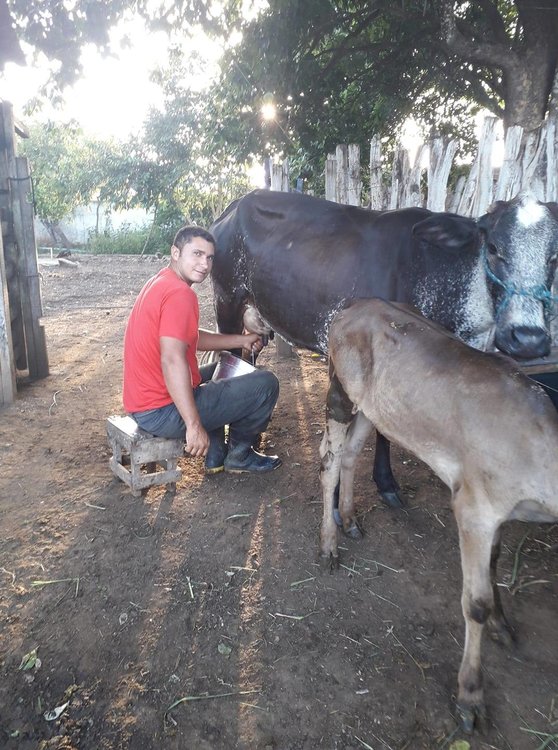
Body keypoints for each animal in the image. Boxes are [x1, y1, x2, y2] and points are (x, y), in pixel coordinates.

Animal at [210, 188, 558, 506]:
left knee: (246, 355)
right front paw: (382, 483)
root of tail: (233, 206)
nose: (528, 337)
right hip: (226, 299)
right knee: (226, 358)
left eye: (554, 256)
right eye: (495, 248)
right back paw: (219, 450)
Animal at [320, 296, 558, 732]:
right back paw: (328, 546)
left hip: (375, 409)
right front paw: (470, 697)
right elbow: (475, 602)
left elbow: (495, 563)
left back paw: (351, 520)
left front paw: (502, 625)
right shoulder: (474, 507)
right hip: (340, 390)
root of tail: (352, 307)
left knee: (350, 453)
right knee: (328, 461)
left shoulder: (498, 514)